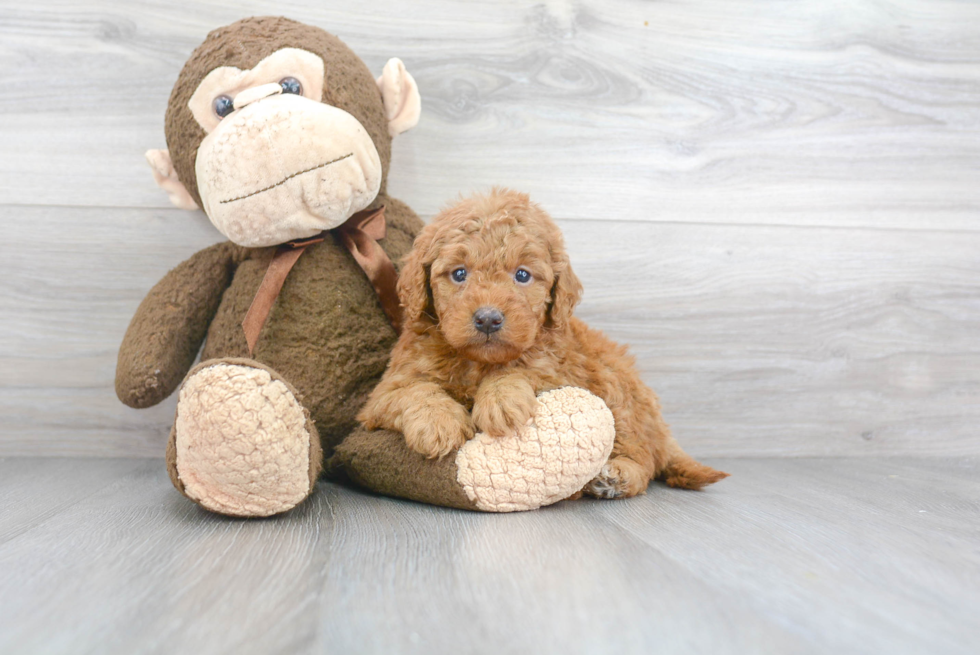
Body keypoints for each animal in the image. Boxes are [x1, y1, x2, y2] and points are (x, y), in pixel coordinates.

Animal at [360, 188, 728, 498]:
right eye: (459, 273)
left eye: (522, 275)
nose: (488, 318)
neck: (478, 362)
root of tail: (663, 429)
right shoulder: (385, 392)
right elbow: (414, 391)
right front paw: (438, 424)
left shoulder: (559, 370)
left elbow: (519, 370)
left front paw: (501, 400)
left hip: (617, 391)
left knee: (645, 457)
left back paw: (616, 476)